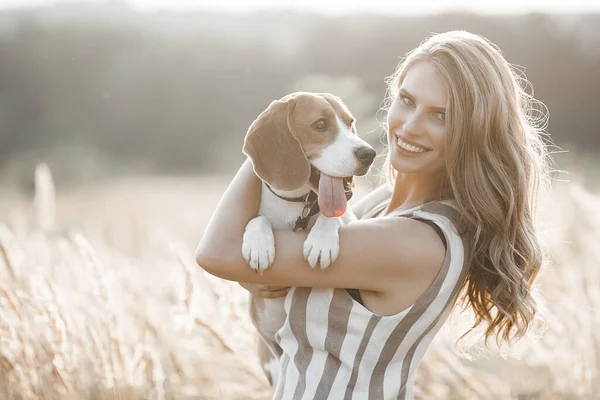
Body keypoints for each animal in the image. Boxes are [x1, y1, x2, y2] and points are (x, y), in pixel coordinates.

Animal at [239, 92, 376, 386]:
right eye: (320, 124)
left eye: (350, 123)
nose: (369, 154)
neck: (296, 206)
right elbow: (258, 219)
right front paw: (258, 246)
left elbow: (332, 216)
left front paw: (322, 241)